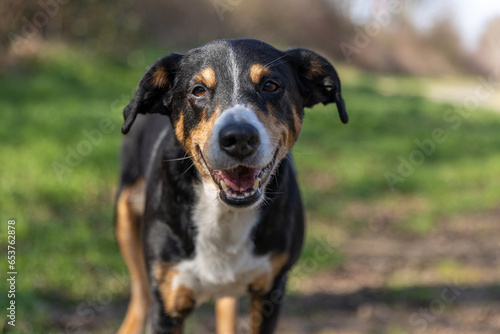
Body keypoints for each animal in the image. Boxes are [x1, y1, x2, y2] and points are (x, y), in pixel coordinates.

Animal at [114, 37, 346, 332]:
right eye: (198, 90)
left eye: (270, 85)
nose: (239, 138)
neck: (224, 214)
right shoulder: (168, 305)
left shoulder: (270, 292)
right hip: (125, 216)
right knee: (141, 292)